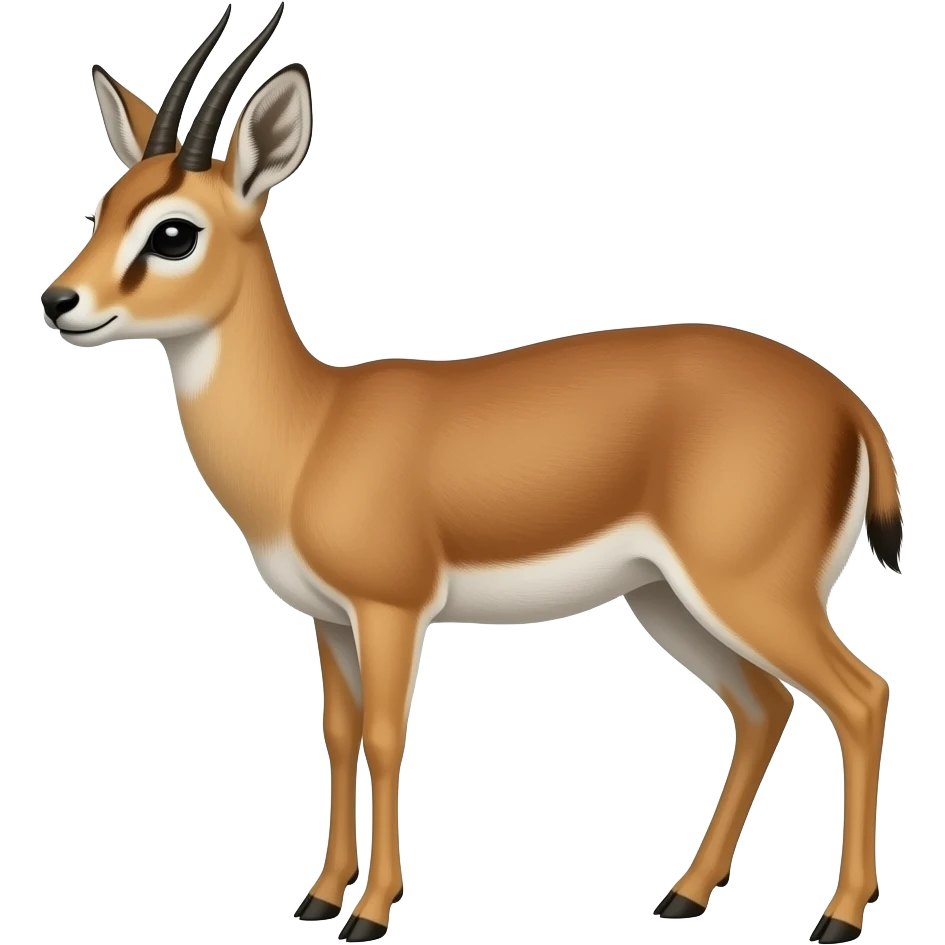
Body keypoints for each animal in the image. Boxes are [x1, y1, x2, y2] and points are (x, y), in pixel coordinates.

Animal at [39, 4, 902, 943]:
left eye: (172, 231)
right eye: (103, 206)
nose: (60, 302)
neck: (311, 428)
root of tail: (845, 401)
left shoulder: (391, 609)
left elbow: (386, 736)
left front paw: (370, 911)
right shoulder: (328, 618)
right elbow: (336, 735)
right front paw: (319, 894)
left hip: (752, 590)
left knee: (860, 696)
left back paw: (838, 915)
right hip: (668, 600)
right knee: (762, 707)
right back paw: (683, 893)